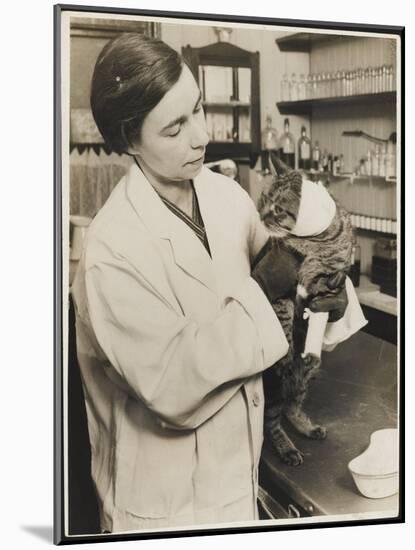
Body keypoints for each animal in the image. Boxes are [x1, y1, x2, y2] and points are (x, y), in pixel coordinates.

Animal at [258, 158, 352, 466]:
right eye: (263, 200)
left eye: (277, 209)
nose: (259, 215)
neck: (315, 240)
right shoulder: (280, 291)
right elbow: (285, 316)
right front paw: (287, 344)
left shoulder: (328, 287)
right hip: (273, 385)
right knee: (271, 420)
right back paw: (286, 447)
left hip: (307, 375)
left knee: (292, 405)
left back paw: (305, 426)